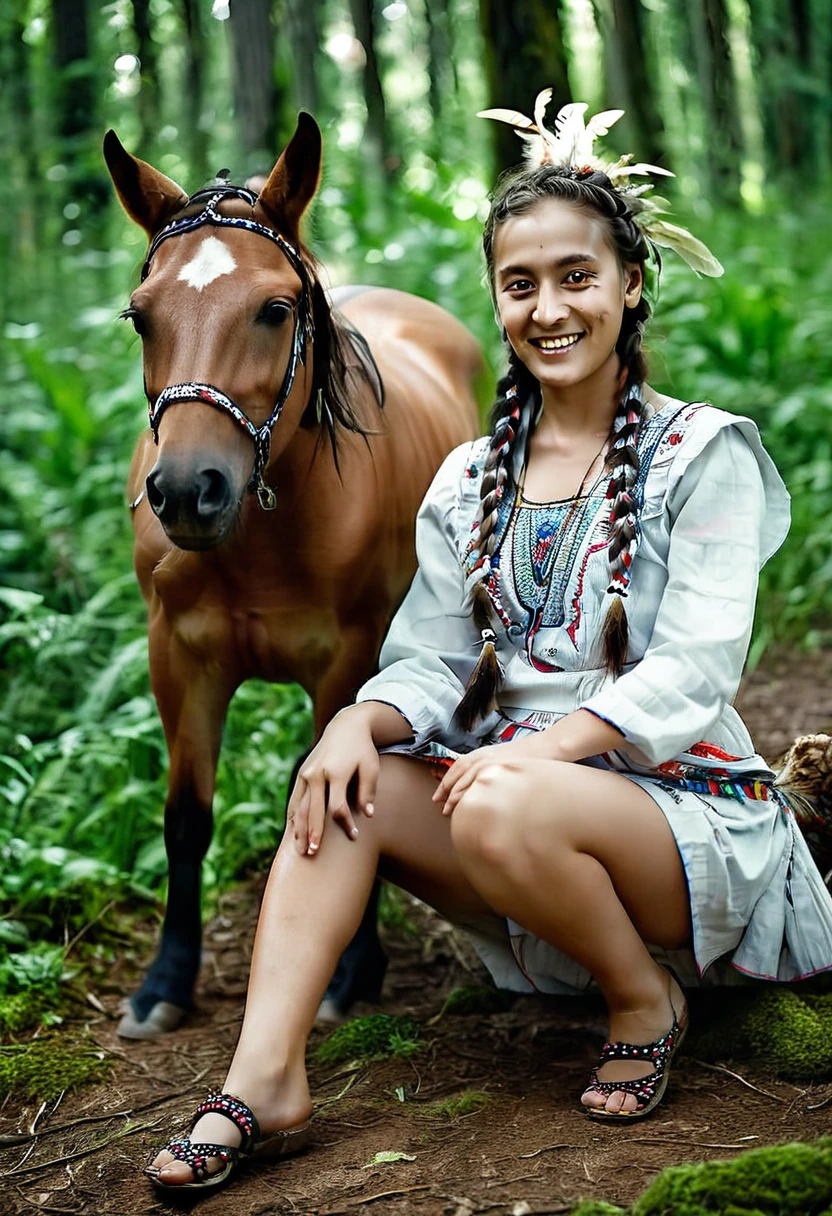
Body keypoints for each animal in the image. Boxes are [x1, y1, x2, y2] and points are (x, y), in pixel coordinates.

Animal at [103, 118, 481, 1040]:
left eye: (275, 311)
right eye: (140, 317)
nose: (185, 490)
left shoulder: (346, 663)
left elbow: (337, 798)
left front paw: (352, 970)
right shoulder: (179, 661)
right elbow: (186, 819)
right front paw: (164, 983)